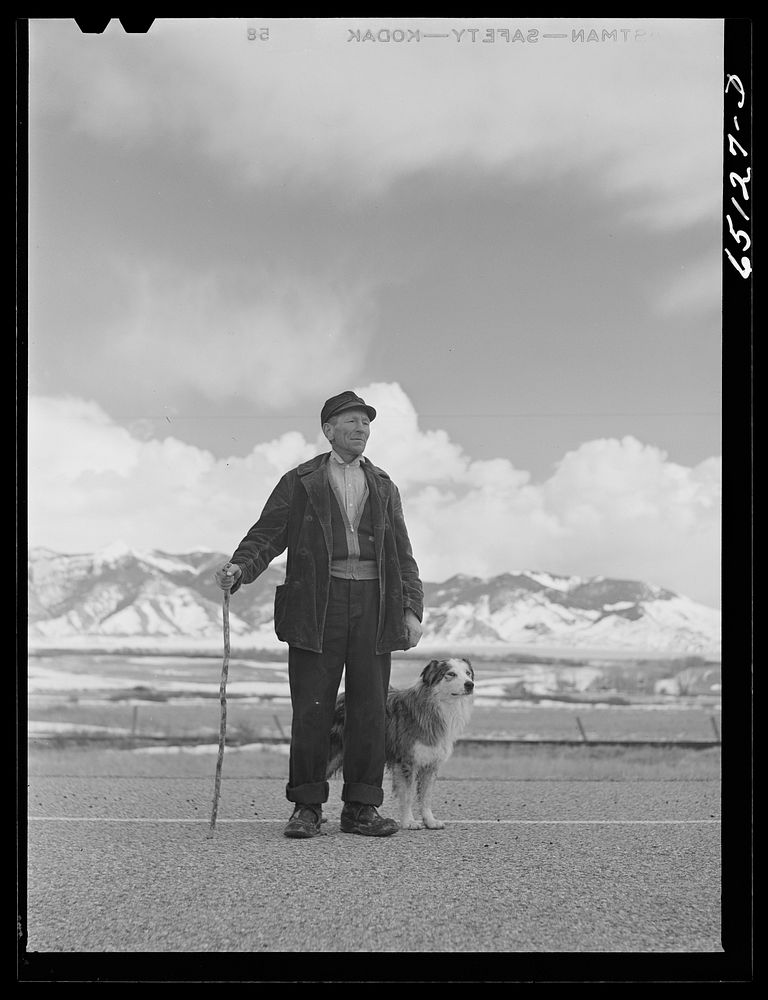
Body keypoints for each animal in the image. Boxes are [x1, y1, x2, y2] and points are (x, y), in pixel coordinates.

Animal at [326, 656, 472, 828]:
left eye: (468, 673)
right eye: (451, 674)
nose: (470, 684)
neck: (435, 706)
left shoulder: (431, 764)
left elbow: (426, 797)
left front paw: (430, 821)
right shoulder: (407, 761)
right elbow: (408, 795)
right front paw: (409, 822)